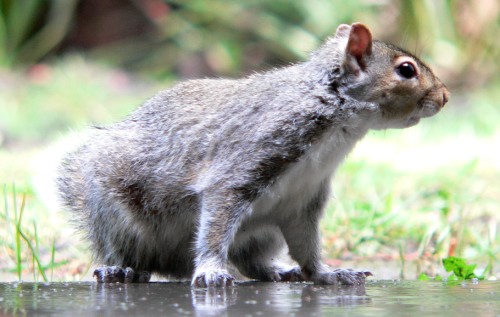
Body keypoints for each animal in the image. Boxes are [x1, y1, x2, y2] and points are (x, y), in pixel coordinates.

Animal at [56, 22, 452, 286]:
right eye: (406, 70)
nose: (445, 96)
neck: (335, 122)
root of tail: (170, 265)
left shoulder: (302, 200)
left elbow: (307, 245)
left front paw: (327, 273)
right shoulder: (243, 165)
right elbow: (216, 226)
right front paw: (212, 271)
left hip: (262, 233)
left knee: (250, 262)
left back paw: (279, 271)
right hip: (114, 212)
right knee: (118, 248)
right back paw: (118, 268)